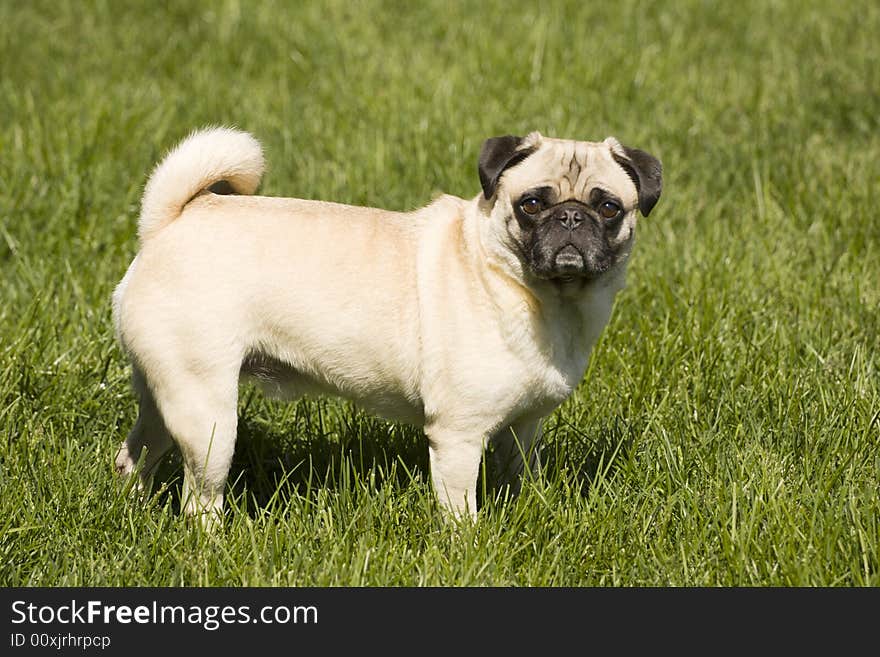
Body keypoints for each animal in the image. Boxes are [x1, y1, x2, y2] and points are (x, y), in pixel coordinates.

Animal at [111, 125, 660, 520]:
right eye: (532, 204)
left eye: (608, 207)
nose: (571, 218)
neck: (541, 297)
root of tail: (170, 222)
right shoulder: (458, 437)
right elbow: (461, 512)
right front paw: (469, 548)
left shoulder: (522, 428)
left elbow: (517, 478)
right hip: (208, 417)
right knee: (199, 500)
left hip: (167, 396)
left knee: (136, 454)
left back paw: (128, 505)